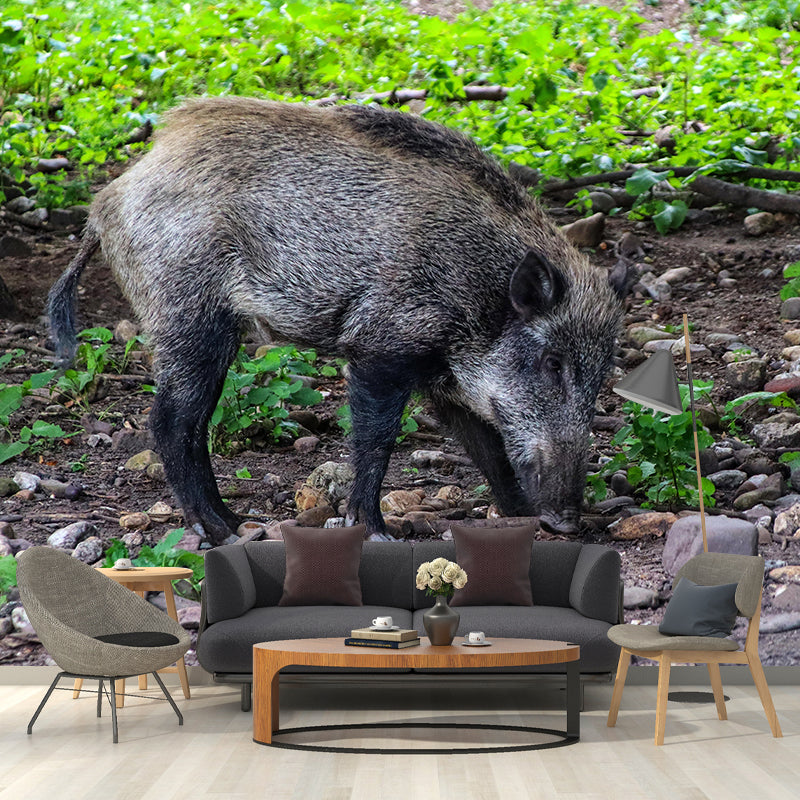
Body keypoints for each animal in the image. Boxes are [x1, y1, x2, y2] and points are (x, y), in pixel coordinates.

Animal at [48, 96, 625, 545]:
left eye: (601, 376)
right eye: (552, 362)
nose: (568, 522)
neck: (479, 294)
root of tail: (105, 203)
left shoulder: (446, 381)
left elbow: (487, 445)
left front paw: (522, 517)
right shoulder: (381, 347)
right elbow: (375, 438)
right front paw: (374, 531)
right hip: (189, 316)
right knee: (173, 422)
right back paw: (226, 528)